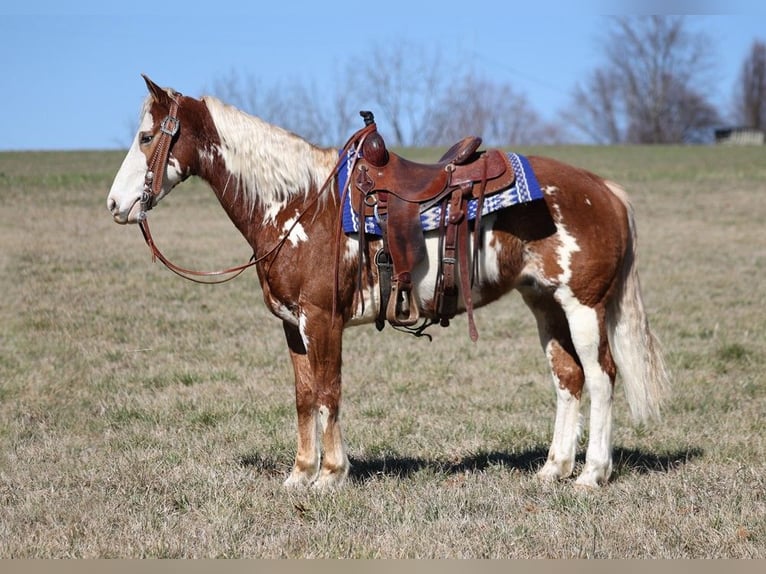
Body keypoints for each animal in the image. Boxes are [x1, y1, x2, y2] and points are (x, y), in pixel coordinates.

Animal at [108, 75, 672, 490]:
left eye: (145, 137)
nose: (116, 204)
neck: (299, 204)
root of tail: (605, 189)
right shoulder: (293, 325)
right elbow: (304, 396)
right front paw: (298, 475)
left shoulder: (322, 319)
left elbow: (329, 392)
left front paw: (330, 476)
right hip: (545, 304)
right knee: (567, 379)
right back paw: (553, 470)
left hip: (583, 305)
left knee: (600, 377)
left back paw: (592, 475)